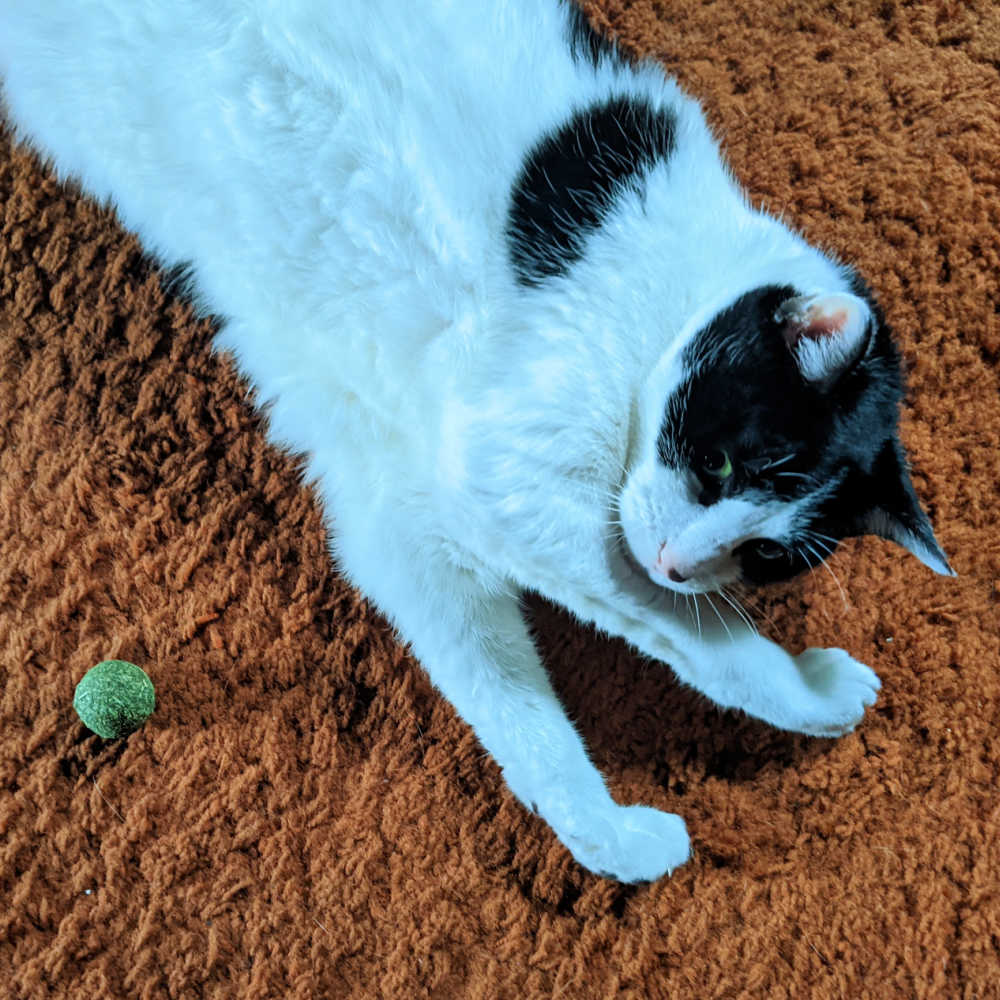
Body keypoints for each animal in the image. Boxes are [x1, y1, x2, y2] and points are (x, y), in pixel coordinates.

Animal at [0, 0, 952, 880]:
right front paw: (812, 690)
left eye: (766, 556)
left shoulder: (405, 524)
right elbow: (699, 638)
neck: (678, 293)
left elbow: (525, 724)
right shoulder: (511, 485)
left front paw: (608, 838)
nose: (681, 564)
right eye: (720, 461)